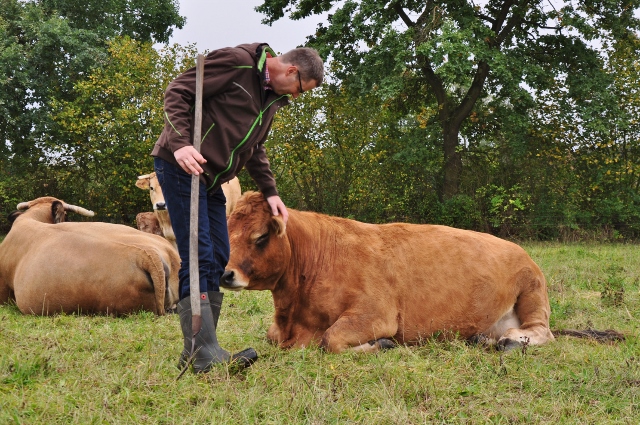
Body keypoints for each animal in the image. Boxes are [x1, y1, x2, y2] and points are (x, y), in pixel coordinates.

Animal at [220, 191, 556, 352]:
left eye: (260, 237)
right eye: (227, 232)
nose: (226, 274)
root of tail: (520, 251)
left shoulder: (376, 313)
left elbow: (330, 339)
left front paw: (380, 344)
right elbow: (270, 335)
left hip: (532, 293)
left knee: (542, 332)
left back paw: (510, 340)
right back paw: (482, 339)